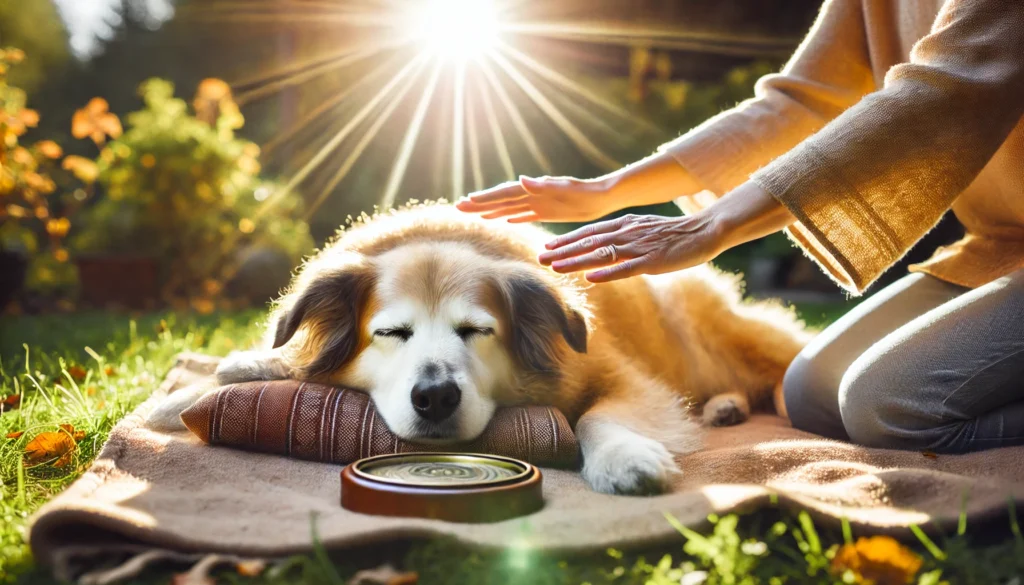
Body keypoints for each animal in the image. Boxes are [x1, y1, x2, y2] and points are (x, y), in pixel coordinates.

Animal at [148, 203, 811, 495]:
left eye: (476, 331)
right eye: (391, 333)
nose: (435, 397)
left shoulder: (622, 379)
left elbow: (597, 416)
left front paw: (625, 458)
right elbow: (267, 365)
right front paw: (193, 390)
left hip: (717, 330)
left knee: (778, 366)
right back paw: (725, 408)